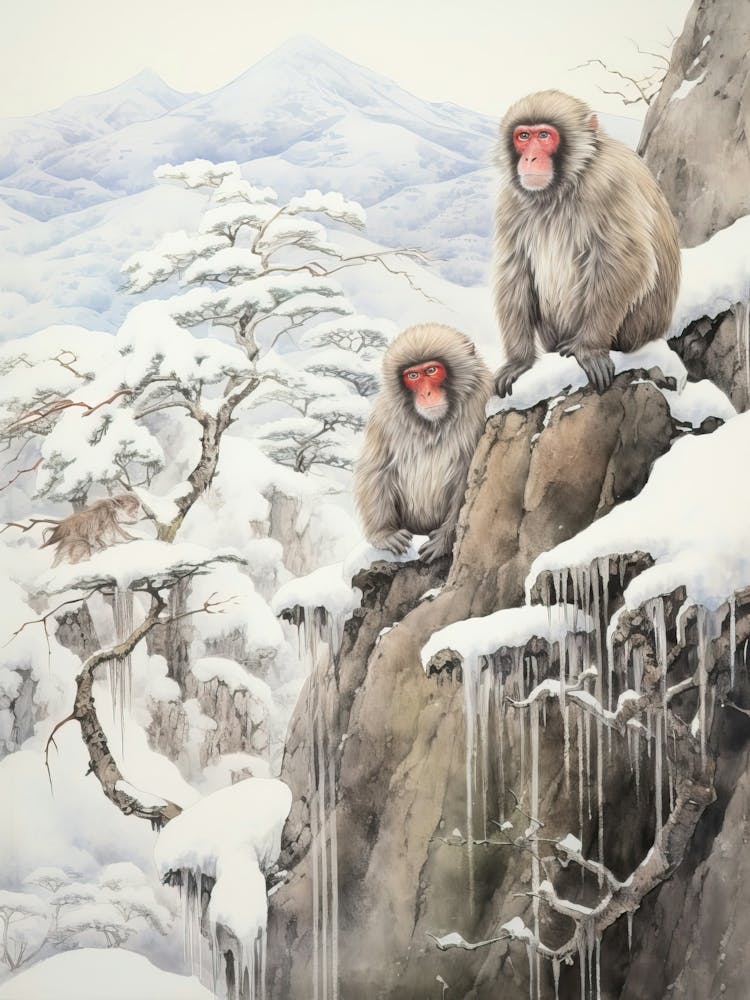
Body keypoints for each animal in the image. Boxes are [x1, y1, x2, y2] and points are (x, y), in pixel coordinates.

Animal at [354, 323, 492, 564]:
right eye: (413, 375)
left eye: (432, 371)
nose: (426, 393)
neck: (434, 424)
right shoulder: (384, 414)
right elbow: (376, 468)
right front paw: (385, 534)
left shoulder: (482, 401)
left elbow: (467, 475)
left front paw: (445, 539)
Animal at [492, 90, 681, 396]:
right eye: (523, 136)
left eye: (544, 135)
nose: (530, 158)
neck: (564, 184)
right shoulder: (510, 200)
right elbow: (515, 268)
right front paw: (519, 361)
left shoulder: (610, 182)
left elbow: (629, 260)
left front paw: (589, 348)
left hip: (636, 328)